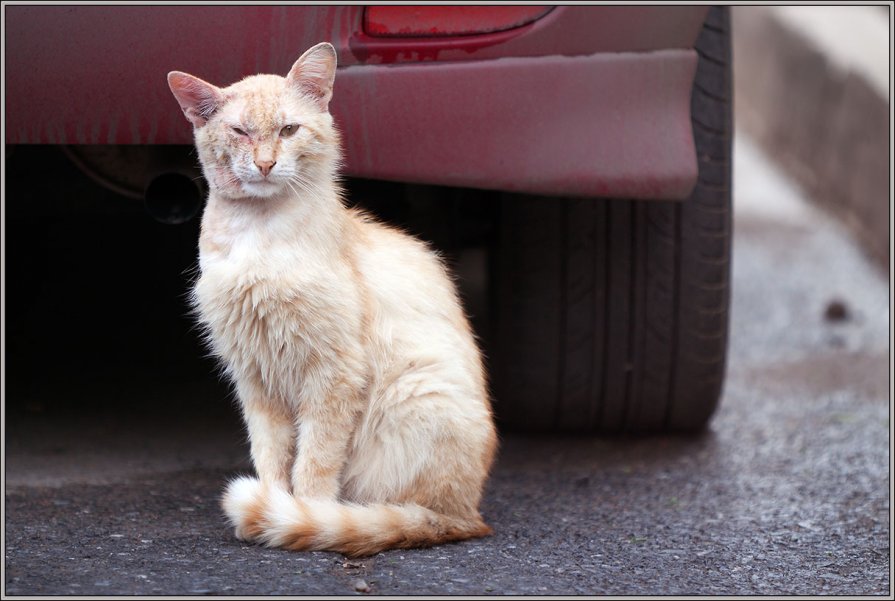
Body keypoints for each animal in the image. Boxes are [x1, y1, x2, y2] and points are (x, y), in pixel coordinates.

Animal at [168, 42, 500, 556]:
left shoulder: (333, 374)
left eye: (288, 130)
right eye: (241, 132)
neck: (261, 235)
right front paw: (271, 509)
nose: (265, 164)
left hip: (417, 395)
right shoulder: (256, 378)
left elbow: (315, 460)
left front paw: (305, 513)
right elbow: (270, 456)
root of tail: (469, 516)